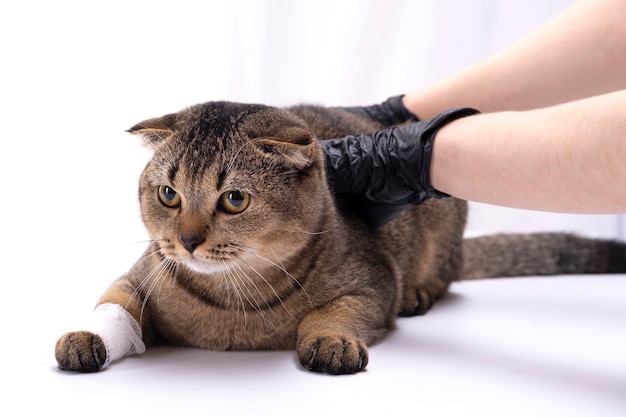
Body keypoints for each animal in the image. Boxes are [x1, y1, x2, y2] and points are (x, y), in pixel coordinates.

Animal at [53, 100, 624, 374]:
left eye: (234, 200)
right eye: (169, 194)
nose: (187, 241)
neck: (231, 304)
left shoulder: (373, 282)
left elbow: (334, 312)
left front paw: (331, 339)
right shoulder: (138, 276)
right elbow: (114, 306)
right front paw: (89, 336)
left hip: (445, 215)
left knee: (446, 275)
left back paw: (421, 292)